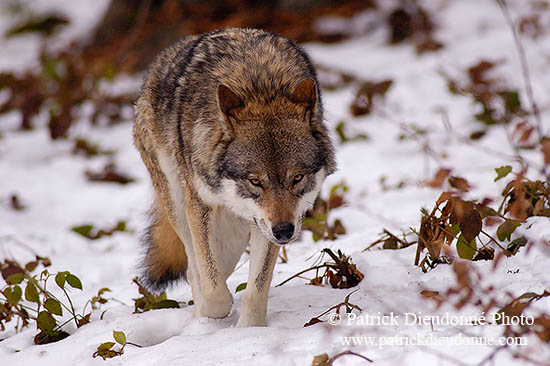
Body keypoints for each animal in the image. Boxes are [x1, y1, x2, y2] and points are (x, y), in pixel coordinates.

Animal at [134, 28, 336, 326]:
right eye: (255, 181)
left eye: (297, 178)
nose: (284, 232)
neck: (260, 86)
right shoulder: (201, 206)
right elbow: (214, 290)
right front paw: (214, 312)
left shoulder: (266, 225)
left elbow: (256, 290)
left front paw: (250, 330)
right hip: (180, 206)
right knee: (194, 269)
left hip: (236, 232)